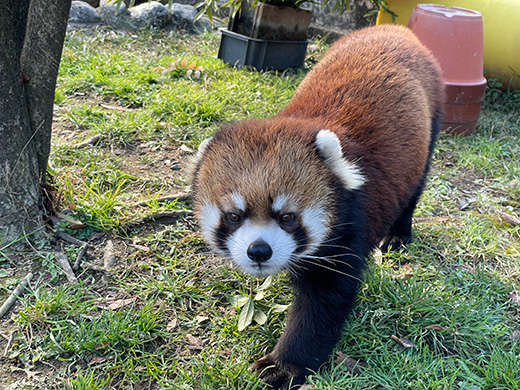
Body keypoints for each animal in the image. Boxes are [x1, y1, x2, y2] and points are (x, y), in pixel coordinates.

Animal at [193, 25, 444, 390]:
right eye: (234, 216)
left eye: (287, 217)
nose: (259, 250)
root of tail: (392, 29)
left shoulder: (350, 224)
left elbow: (322, 305)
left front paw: (283, 366)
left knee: (415, 187)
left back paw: (399, 234)